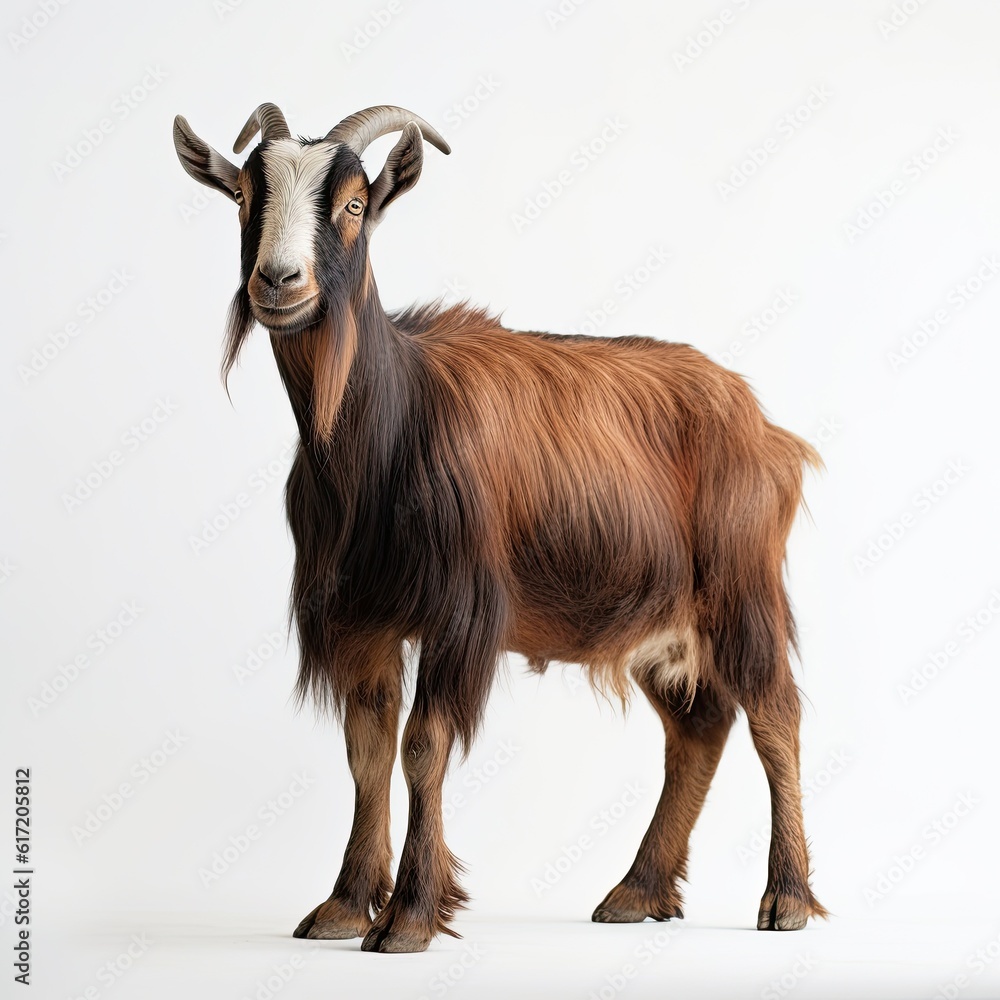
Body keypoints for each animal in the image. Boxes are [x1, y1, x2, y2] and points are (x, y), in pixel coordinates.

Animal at [173, 103, 827, 953]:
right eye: (244, 197)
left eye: (353, 204)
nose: (279, 282)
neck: (389, 427)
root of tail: (765, 427)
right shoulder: (360, 618)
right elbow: (365, 750)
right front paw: (344, 906)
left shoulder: (460, 608)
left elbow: (423, 745)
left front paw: (409, 916)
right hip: (657, 616)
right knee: (700, 725)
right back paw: (637, 890)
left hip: (740, 584)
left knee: (775, 712)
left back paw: (784, 898)